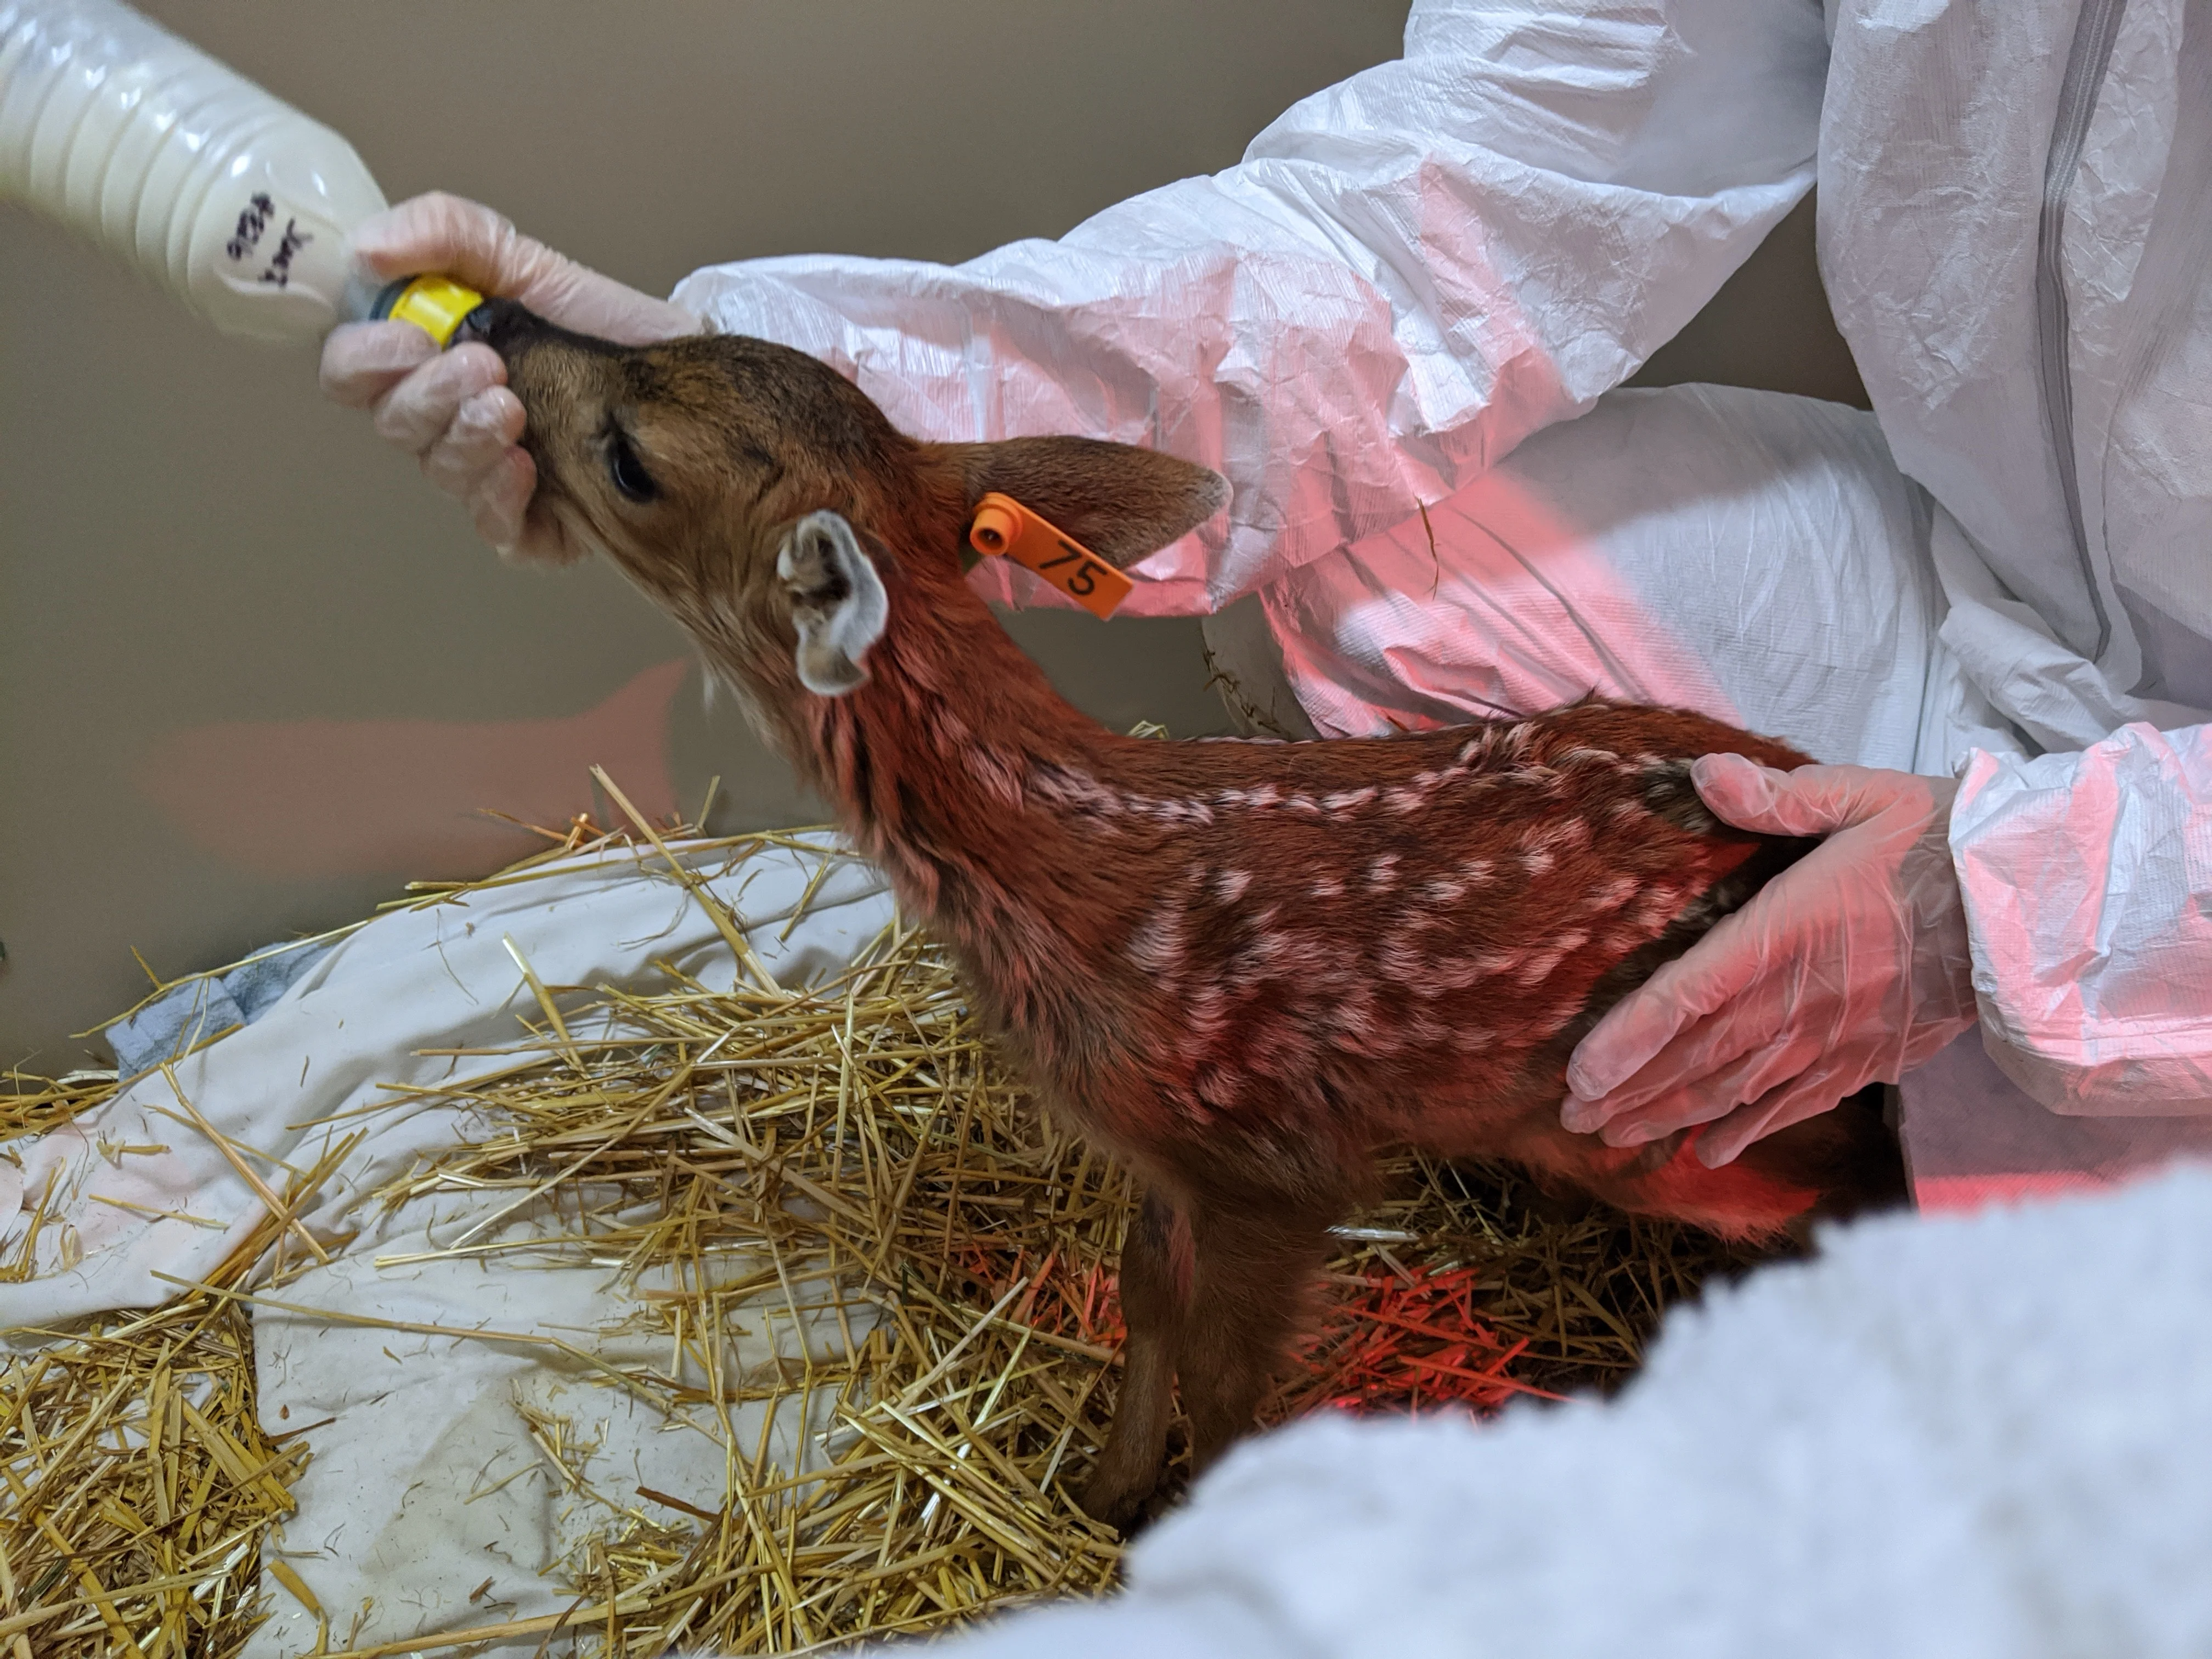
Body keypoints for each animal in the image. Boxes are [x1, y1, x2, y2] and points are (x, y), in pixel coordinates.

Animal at [460, 299, 1905, 1531]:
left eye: (630, 458)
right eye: (688, 337)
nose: (493, 318)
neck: (1058, 863)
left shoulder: (1272, 1149)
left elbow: (1229, 1381)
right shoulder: (1164, 1150)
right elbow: (1148, 1293)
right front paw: (1105, 1491)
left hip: (1683, 1115)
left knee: (1846, 1182)